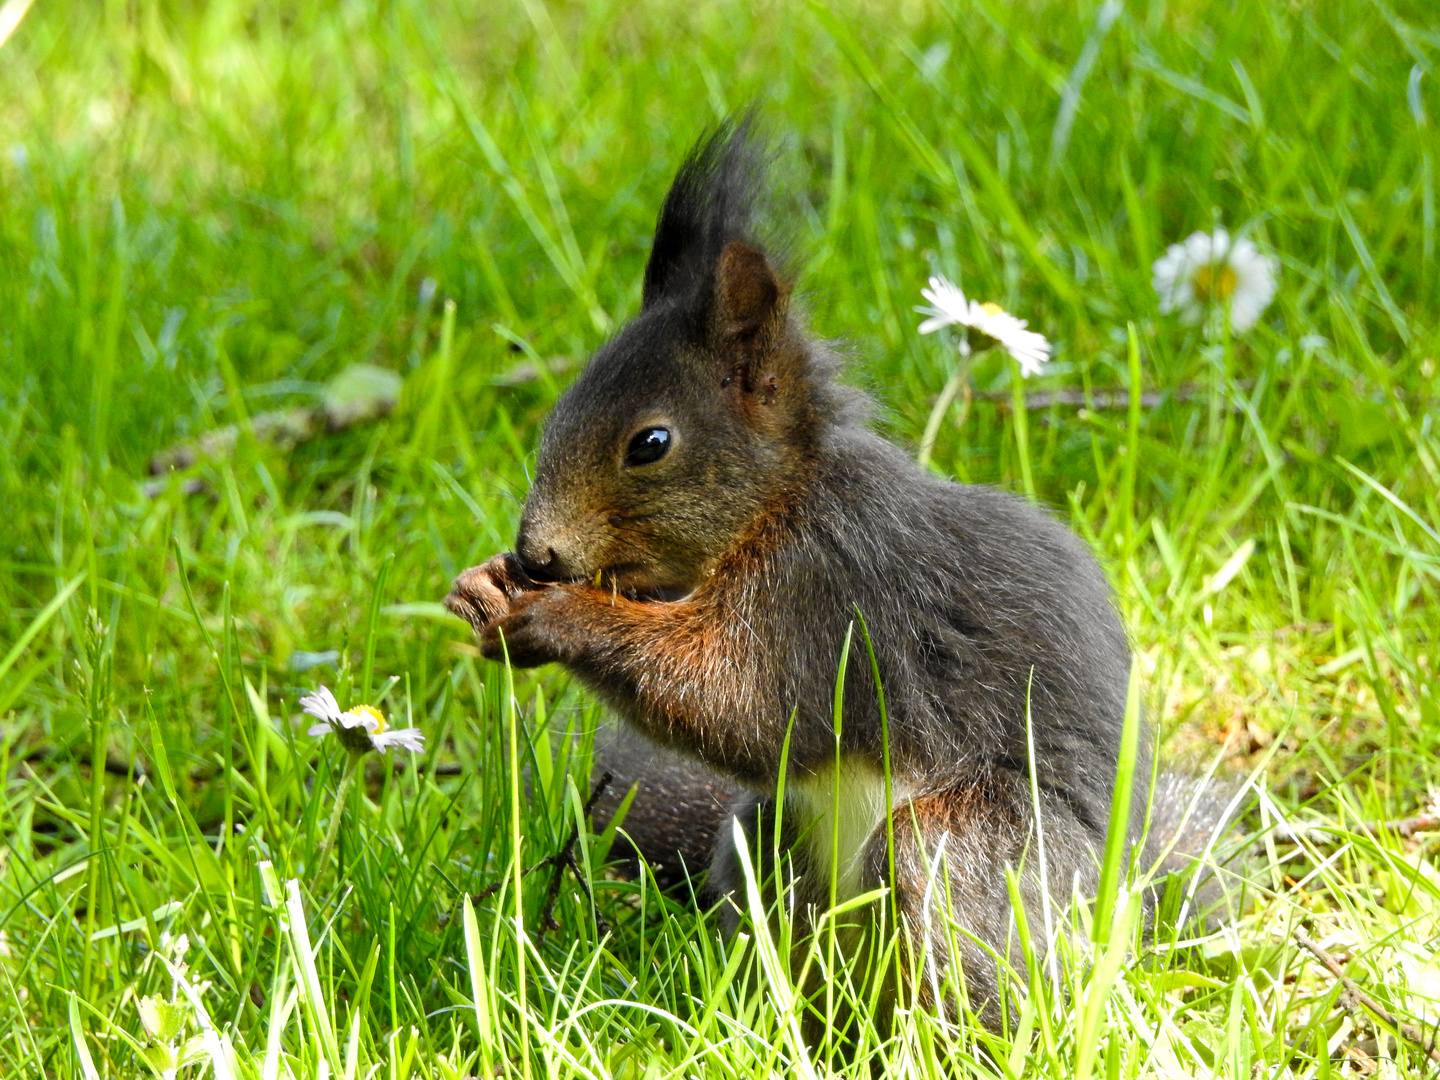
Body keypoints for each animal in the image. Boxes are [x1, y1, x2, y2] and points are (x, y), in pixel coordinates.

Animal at [440, 118, 1238, 1025]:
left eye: (650, 444)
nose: (536, 552)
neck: (780, 502)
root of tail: (1132, 917)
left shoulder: (825, 595)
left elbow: (737, 701)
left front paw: (553, 618)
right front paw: (485, 587)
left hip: (977, 859)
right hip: (769, 841)